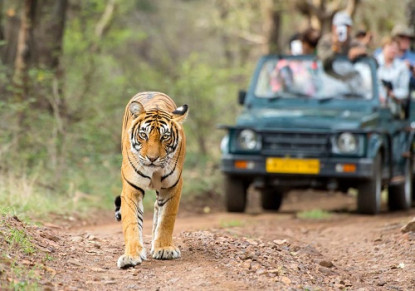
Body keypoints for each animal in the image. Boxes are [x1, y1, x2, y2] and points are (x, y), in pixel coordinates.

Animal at [117, 91, 188, 270]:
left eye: (165, 137)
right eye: (143, 135)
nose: (152, 158)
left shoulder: (172, 186)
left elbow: (167, 219)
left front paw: (164, 248)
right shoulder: (131, 189)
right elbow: (132, 223)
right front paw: (131, 256)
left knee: (158, 208)